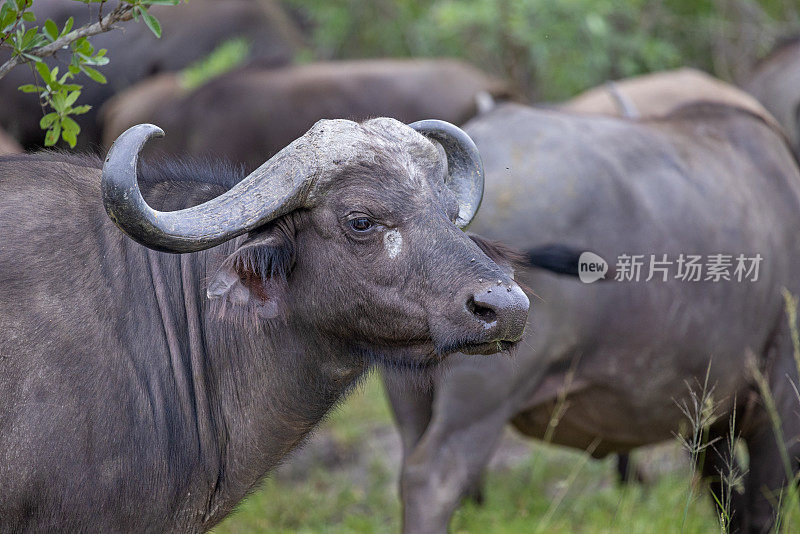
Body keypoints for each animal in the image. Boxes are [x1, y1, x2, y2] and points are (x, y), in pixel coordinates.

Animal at [384, 103, 800, 534]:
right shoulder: (781, 399)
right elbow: (763, 508)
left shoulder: (710, 416)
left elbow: (728, 497)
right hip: (483, 392)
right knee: (434, 479)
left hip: (409, 394)